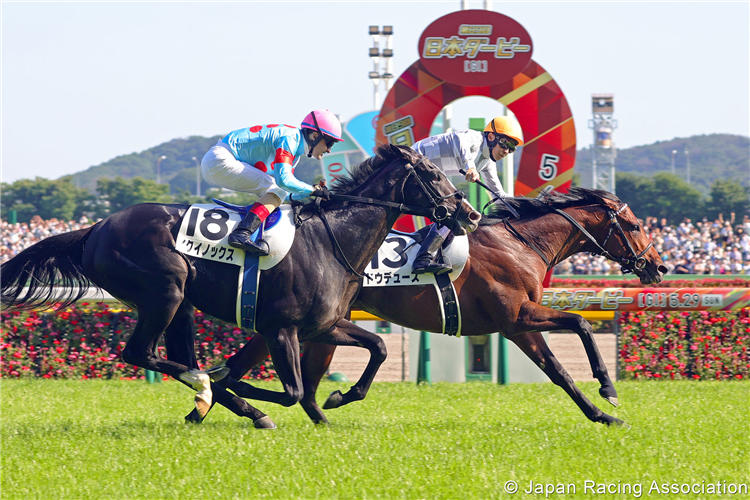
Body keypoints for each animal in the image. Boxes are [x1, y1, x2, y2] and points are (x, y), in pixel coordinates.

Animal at [0, 146, 482, 430]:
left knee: (175, 355)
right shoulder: (281, 329)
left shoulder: (324, 325)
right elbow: (291, 390)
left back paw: (210, 398)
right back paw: (210, 387)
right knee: (142, 353)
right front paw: (238, 385)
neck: (332, 240)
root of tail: (95, 228)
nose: (471, 214)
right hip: (164, 291)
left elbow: (377, 349)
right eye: (434, 175)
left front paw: (339, 396)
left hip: (181, 304)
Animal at [192, 188, 664, 426]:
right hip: (309, 323)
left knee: (277, 376)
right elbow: (581, 323)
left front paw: (602, 415)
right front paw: (608, 389)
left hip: (320, 325)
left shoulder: (516, 327)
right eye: (635, 225)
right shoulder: (517, 316)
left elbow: (560, 372)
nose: (658, 267)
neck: (519, 244)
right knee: (256, 371)